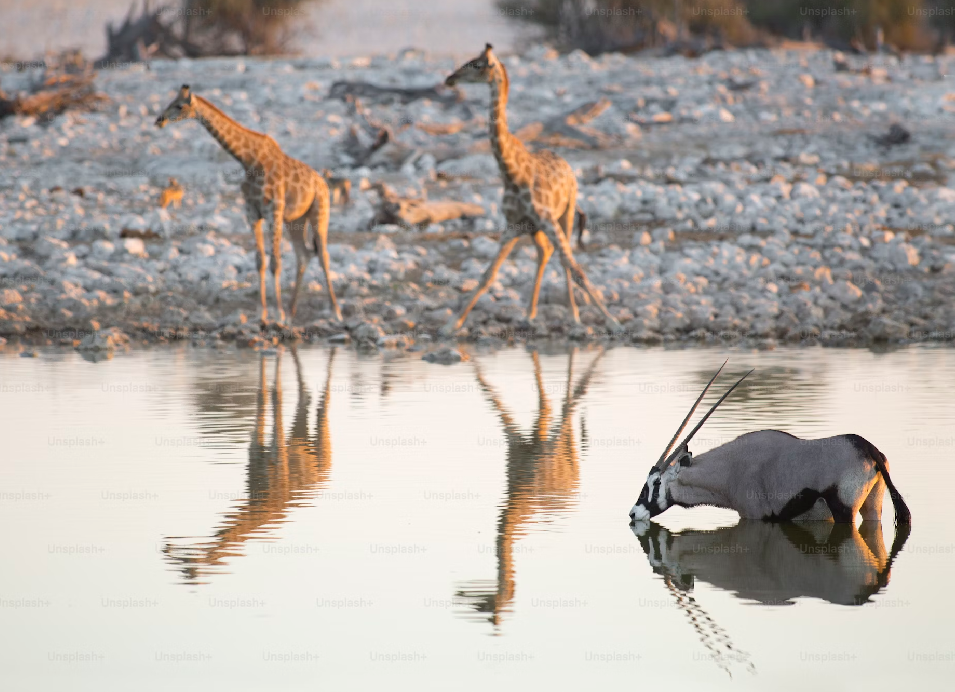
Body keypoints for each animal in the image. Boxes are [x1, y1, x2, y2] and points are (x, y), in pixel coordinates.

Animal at [155, 85, 342, 325]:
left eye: (179, 106)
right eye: (170, 102)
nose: (159, 120)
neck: (249, 160)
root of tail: (322, 182)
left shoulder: (273, 212)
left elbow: (275, 263)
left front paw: (277, 314)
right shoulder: (252, 213)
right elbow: (260, 261)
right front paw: (262, 313)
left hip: (320, 212)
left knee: (323, 256)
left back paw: (335, 312)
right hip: (296, 220)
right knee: (303, 255)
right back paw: (292, 312)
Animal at [442, 44, 621, 334]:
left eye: (477, 64)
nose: (450, 78)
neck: (512, 174)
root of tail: (565, 161)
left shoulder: (546, 220)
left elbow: (577, 270)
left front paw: (613, 322)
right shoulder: (513, 226)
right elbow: (487, 275)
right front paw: (451, 324)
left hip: (566, 214)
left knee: (564, 259)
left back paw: (573, 316)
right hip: (535, 229)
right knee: (544, 253)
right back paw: (529, 315)